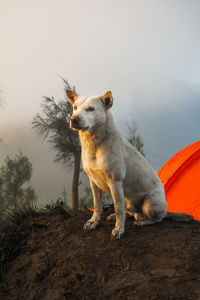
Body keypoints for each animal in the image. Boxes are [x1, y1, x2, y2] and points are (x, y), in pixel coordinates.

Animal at [67, 90, 192, 240]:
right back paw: (121, 216)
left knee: (157, 218)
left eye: (91, 109)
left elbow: (118, 209)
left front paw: (119, 230)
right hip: (127, 199)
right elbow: (97, 206)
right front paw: (94, 222)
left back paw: (143, 221)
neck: (95, 144)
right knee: (132, 213)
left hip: (149, 205)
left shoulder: (115, 182)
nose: (73, 119)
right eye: (75, 107)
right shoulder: (94, 182)